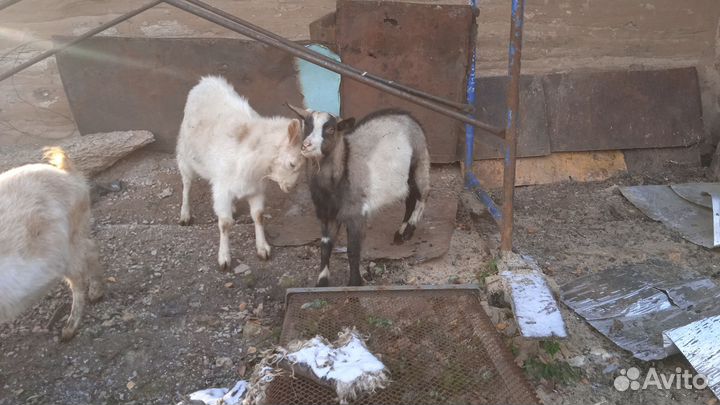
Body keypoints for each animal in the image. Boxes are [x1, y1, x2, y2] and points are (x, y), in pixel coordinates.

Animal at [0, 147, 104, 340]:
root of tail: (66, 171)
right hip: (77, 234)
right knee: (91, 249)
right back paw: (96, 292)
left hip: (68, 244)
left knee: (78, 279)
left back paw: (68, 330)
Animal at [177, 76, 304, 269]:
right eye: (291, 163)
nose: (291, 186)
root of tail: (206, 81)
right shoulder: (221, 189)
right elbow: (225, 223)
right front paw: (224, 257)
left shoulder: (256, 188)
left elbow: (258, 216)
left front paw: (263, 248)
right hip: (185, 155)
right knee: (186, 183)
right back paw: (185, 214)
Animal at [287, 105, 430, 286]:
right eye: (306, 125)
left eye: (331, 129)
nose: (306, 145)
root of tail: (409, 116)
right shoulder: (327, 215)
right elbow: (325, 248)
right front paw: (322, 282)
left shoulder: (356, 214)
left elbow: (353, 250)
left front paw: (355, 282)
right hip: (406, 179)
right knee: (410, 199)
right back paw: (400, 234)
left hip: (419, 163)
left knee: (423, 195)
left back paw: (409, 230)